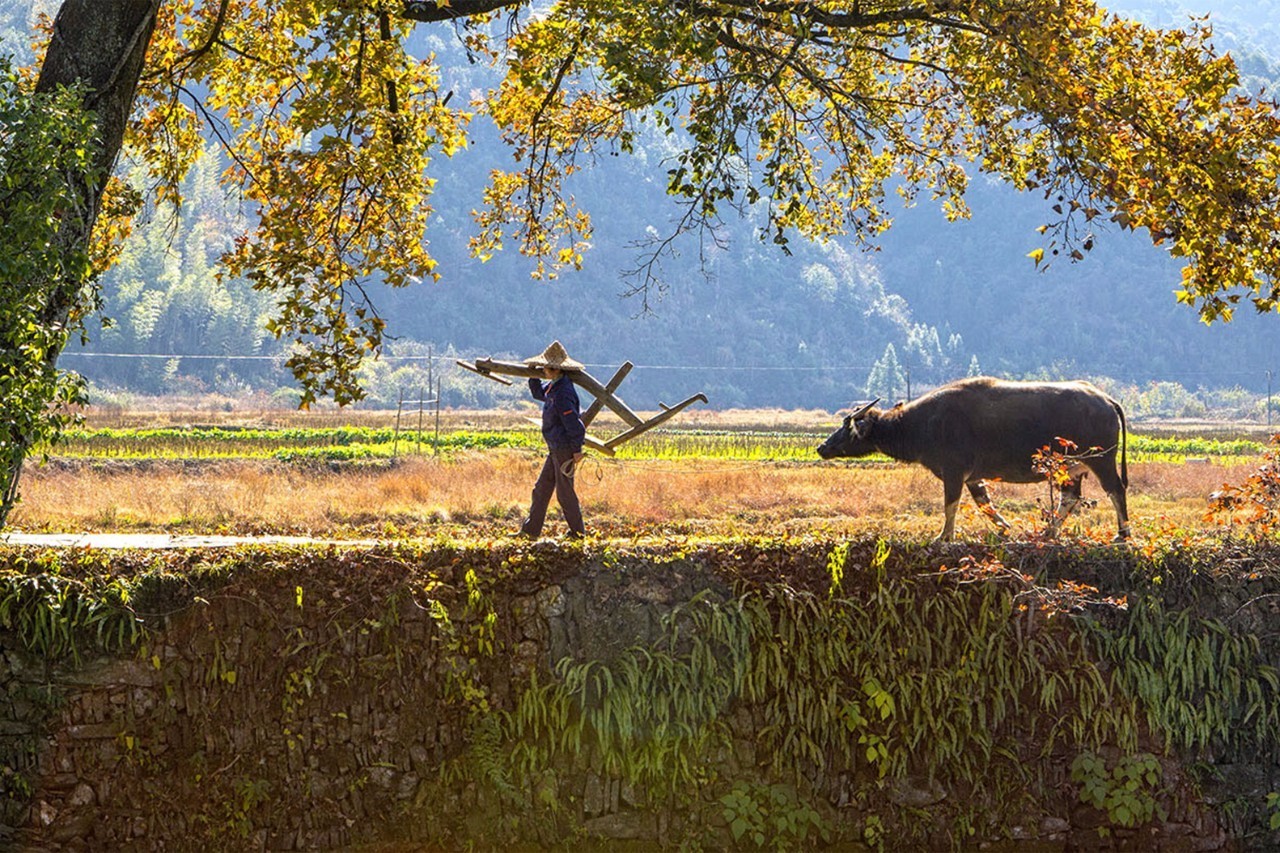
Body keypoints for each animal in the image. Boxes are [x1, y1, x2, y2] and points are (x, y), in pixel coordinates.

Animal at [814, 376, 1126, 537]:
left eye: (847, 426)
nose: (822, 447)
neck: (923, 423)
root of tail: (1106, 400)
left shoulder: (953, 471)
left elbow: (950, 504)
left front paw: (944, 536)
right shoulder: (974, 477)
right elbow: (984, 504)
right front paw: (1005, 528)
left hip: (1101, 461)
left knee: (1116, 490)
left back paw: (1122, 535)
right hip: (1070, 469)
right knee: (1069, 497)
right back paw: (1048, 532)